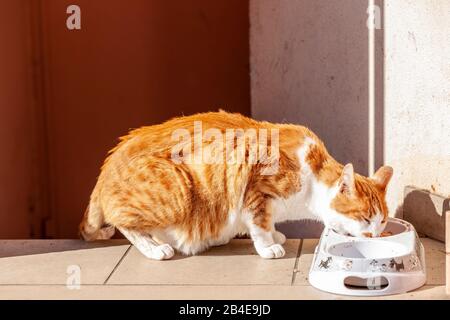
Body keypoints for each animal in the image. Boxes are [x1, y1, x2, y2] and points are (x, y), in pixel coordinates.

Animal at [79, 112, 392, 260]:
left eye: (382, 221)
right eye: (366, 218)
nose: (377, 236)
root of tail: (107, 166)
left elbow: (269, 225)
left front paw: (276, 236)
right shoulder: (257, 190)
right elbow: (260, 225)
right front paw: (268, 247)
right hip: (177, 192)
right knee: (124, 223)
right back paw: (155, 249)